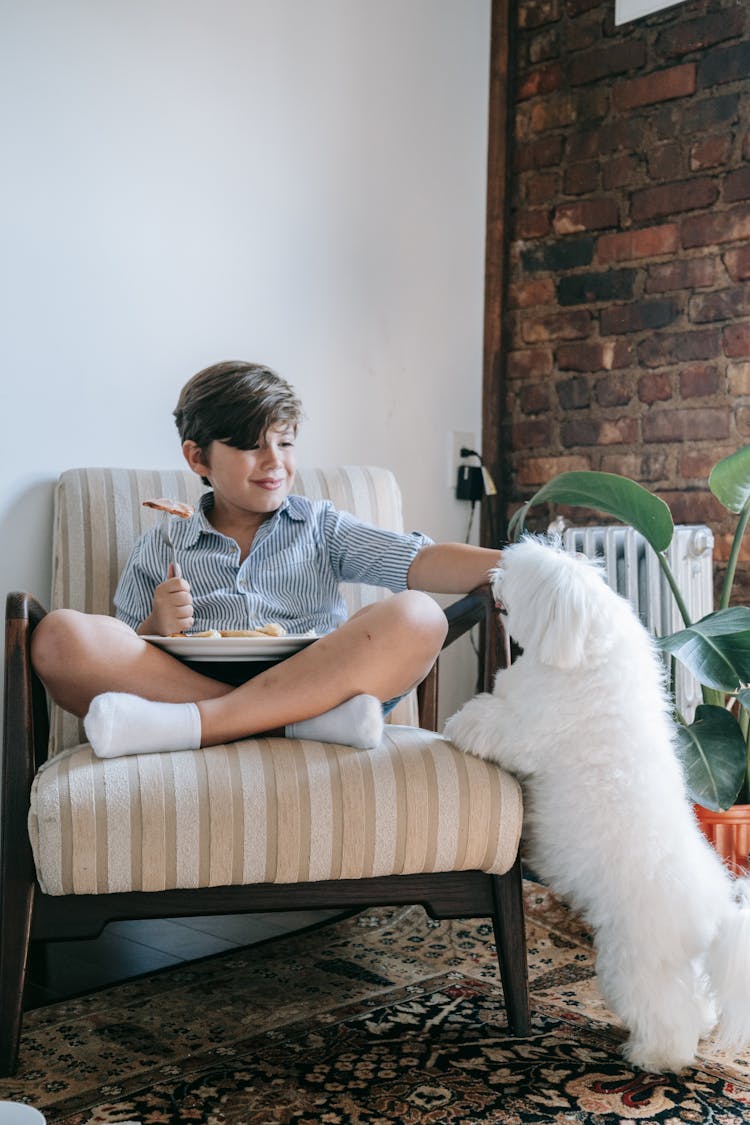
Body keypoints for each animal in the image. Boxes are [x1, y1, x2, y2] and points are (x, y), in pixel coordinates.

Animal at [445, 533, 750, 1071]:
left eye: (525, 579)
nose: (494, 575)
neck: (585, 651)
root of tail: (715, 916)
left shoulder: (522, 730)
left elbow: (489, 721)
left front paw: (460, 723)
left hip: (634, 961)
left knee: (668, 1013)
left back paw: (652, 1057)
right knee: (697, 1000)